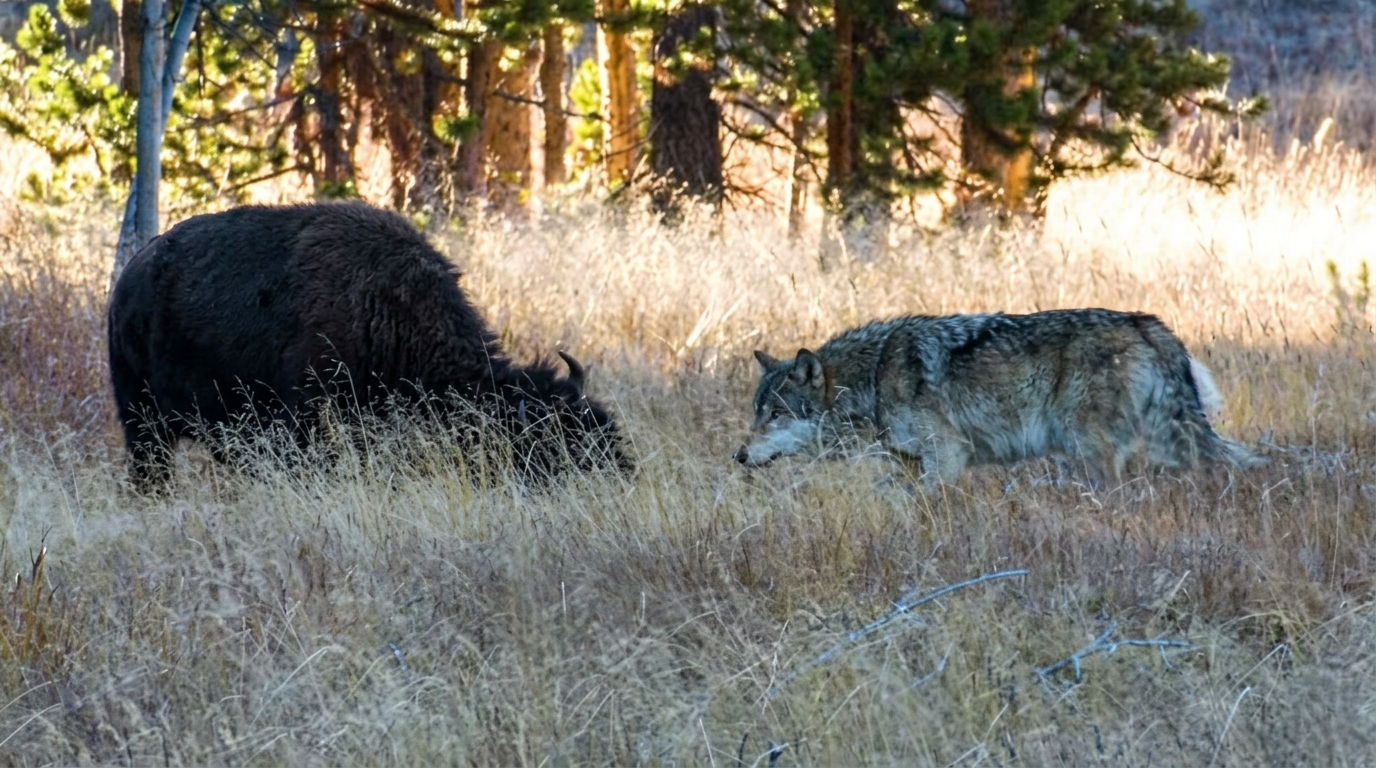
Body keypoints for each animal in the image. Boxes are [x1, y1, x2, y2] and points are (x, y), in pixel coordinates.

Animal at [734, 309, 1259, 486]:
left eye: (776, 415)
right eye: (756, 413)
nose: (738, 455)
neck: (874, 379)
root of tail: (1148, 322)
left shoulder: (947, 455)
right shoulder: (911, 461)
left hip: (1088, 446)